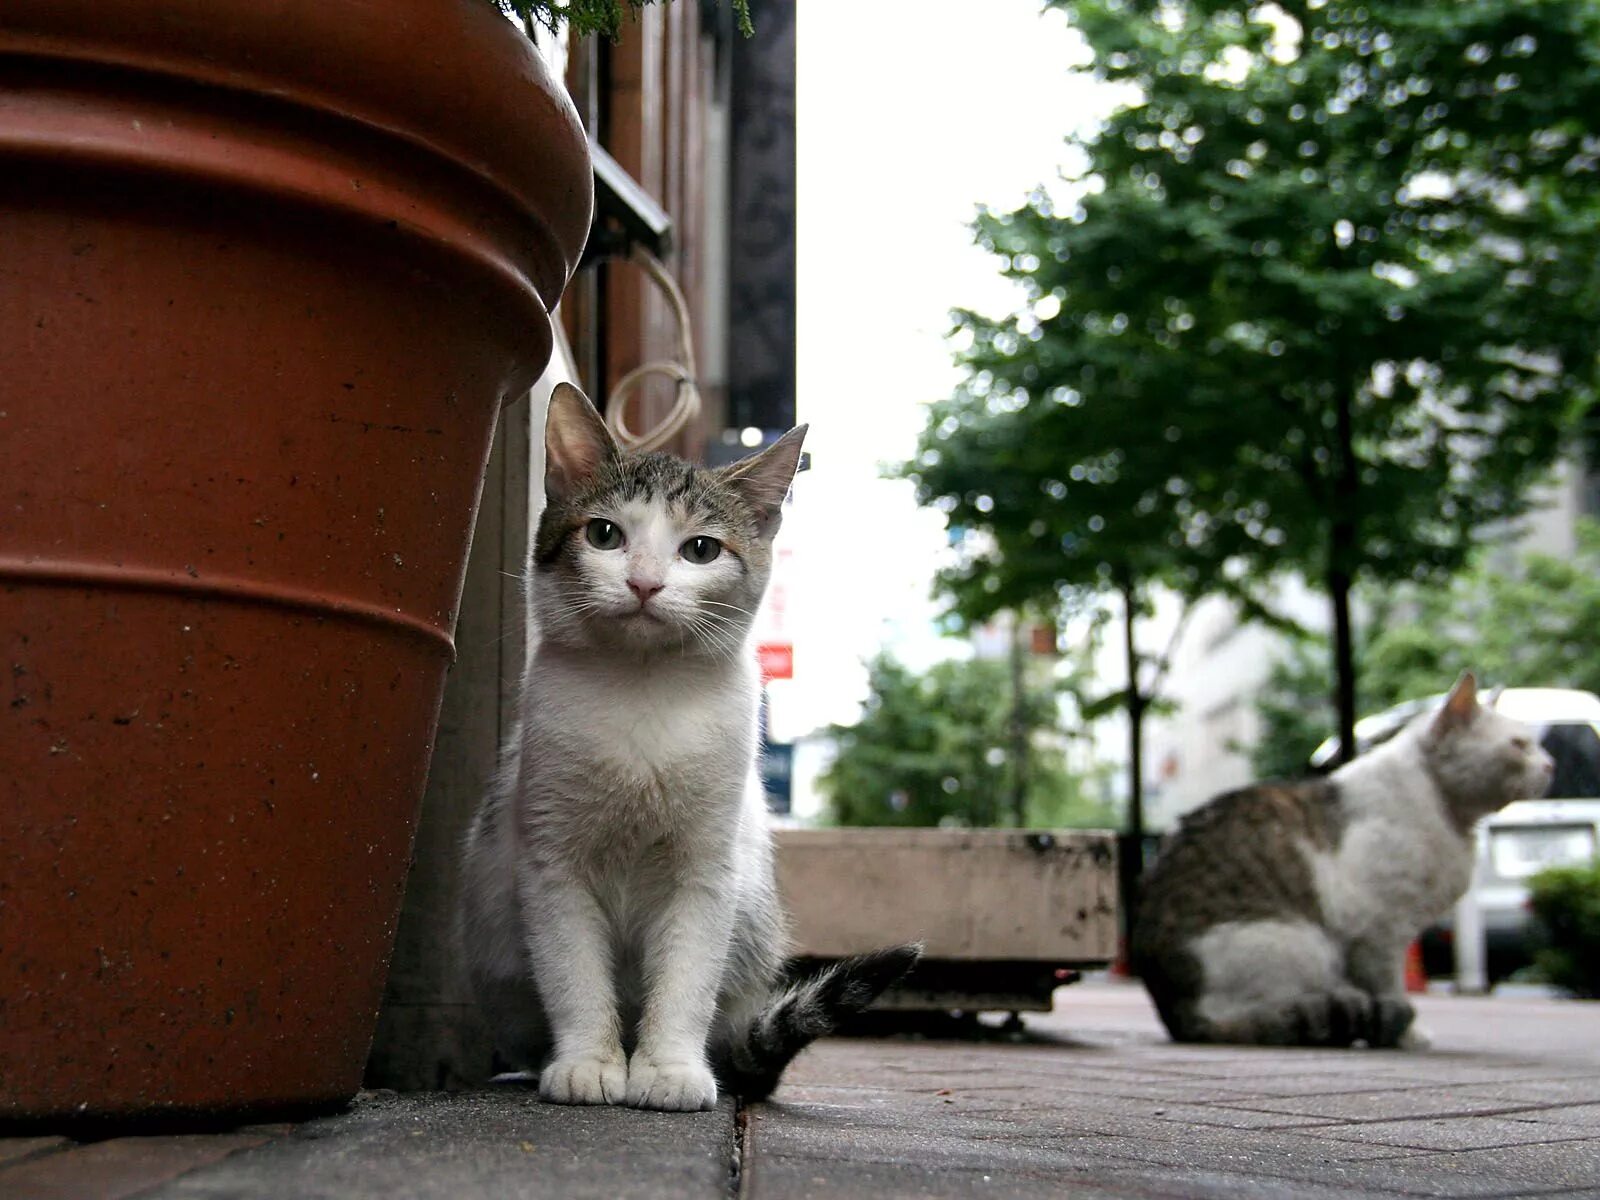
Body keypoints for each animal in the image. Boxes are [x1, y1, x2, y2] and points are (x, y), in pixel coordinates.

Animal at [457, 380, 921, 1113]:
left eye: (701, 549)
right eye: (605, 534)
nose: (645, 582)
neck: (644, 691)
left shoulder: (706, 868)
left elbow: (685, 978)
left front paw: (669, 1070)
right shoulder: (552, 861)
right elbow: (572, 971)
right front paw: (588, 1063)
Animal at [1132, 678, 1555, 1049]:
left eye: (1534, 744)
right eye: (1519, 745)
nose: (1551, 765)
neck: (1446, 811)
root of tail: (1174, 1010)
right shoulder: (1379, 931)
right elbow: (1389, 986)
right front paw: (1407, 1033)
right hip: (1304, 945)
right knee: (1234, 1017)